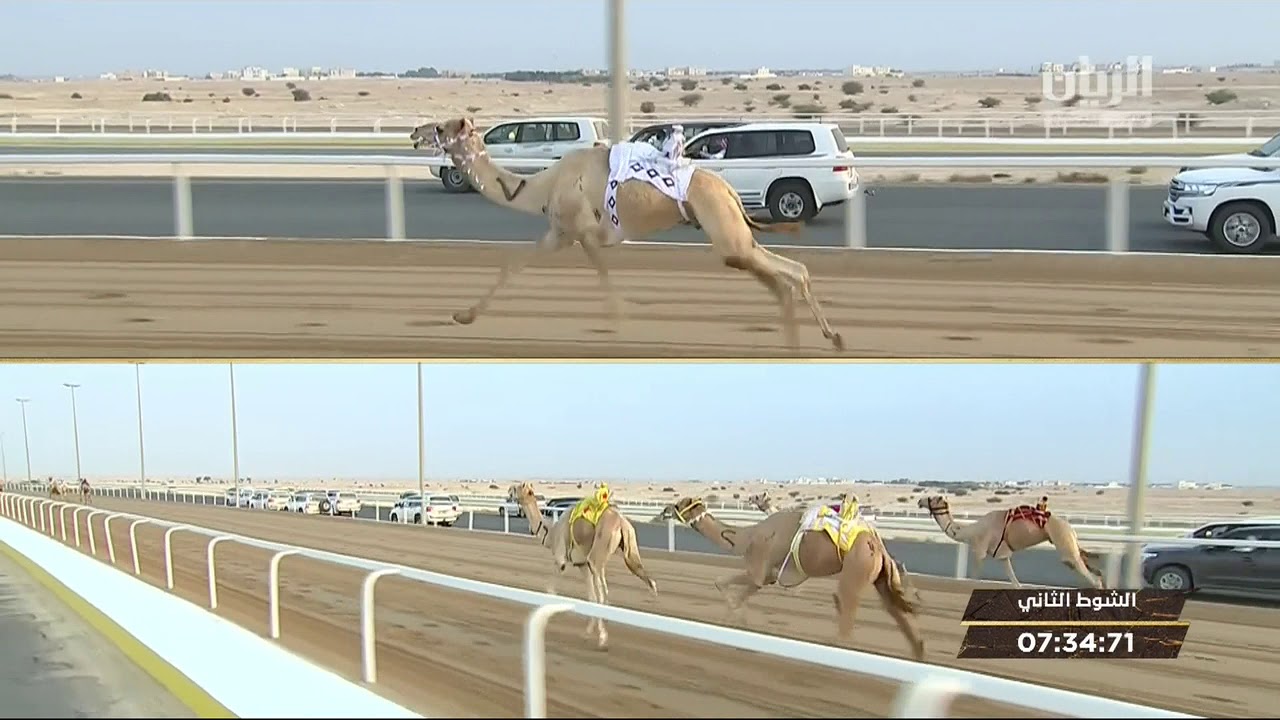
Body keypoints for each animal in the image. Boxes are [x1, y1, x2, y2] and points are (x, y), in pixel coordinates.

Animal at [411, 119, 845, 351]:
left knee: (784, 277)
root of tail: (728, 191)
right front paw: (463, 315)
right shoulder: (559, 234)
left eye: (441, 128)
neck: (539, 185)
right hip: (733, 237)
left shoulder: (584, 232)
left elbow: (604, 278)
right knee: (790, 275)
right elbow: (512, 266)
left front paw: (620, 327)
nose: (416, 131)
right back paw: (824, 338)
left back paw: (810, 341)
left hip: (726, 234)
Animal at [510, 482, 658, 649]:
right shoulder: (582, 564)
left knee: (603, 595)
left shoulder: (561, 560)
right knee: (647, 580)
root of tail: (621, 523)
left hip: (598, 553)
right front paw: (587, 633)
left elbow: (550, 589)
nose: (510, 491)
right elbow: (591, 598)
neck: (551, 534)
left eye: (517, 488)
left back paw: (603, 638)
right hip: (628, 549)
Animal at [654, 496, 925, 660]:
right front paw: (736, 620)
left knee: (845, 605)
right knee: (894, 610)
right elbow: (740, 594)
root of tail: (875, 543)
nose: (662, 512)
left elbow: (720, 581)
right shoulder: (767, 577)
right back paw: (918, 653)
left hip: (856, 567)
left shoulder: (757, 570)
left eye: (678, 504)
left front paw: (733, 618)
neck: (744, 537)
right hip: (878, 575)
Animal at [917, 496, 1105, 588]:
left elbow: (973, 581)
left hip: (1065, 544)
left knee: (1094, 579)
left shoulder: (980, 551)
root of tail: (1072, 530)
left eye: (932, 498)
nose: (919, 501)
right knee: (1093, 574)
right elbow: (1016, 583)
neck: (971, 531)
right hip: (1068, 547)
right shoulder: (1002, 555)